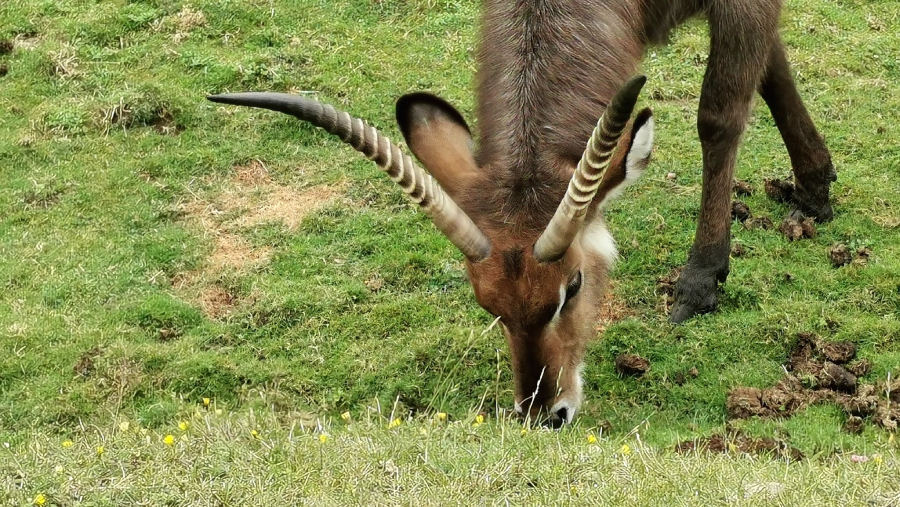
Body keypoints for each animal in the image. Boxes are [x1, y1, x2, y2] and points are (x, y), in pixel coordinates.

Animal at [208, 0, 835, 426]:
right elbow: (772, 64)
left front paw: (701, 281)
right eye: (488, 305)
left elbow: (720, 113)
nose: (544, 414)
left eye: (572, 286)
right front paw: (815, 182)